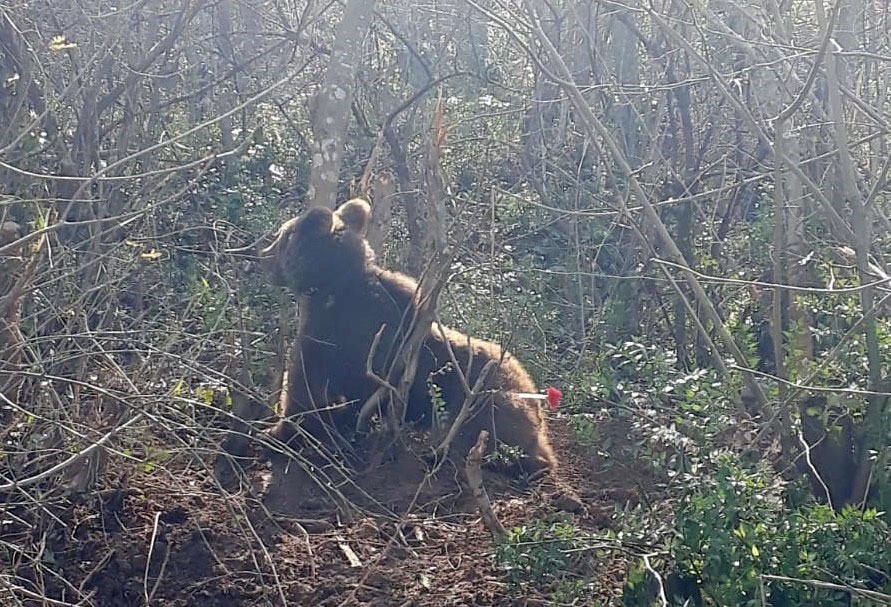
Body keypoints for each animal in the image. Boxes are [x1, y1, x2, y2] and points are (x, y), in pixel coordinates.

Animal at [260, 200, 556, 480]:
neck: (333, 285)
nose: (262, 255)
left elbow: (304, 391)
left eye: (282, 235)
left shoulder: (329, 339)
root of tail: (538, 401)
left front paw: (275, 434)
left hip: (483, 402)